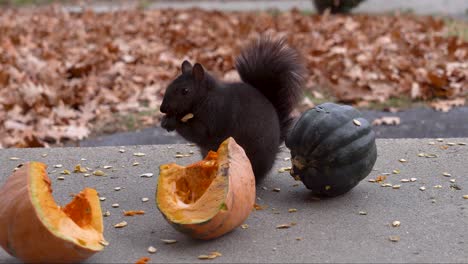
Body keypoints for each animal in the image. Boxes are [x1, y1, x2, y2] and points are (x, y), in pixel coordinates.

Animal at [161, 35, 306, 182]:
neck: (206, 97)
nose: (162, 108)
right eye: (169, 85)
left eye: (185, 91)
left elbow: (196, 133)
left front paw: (173, 122)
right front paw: (165, 120)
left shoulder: (214, 115)